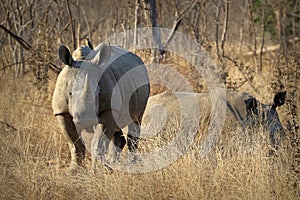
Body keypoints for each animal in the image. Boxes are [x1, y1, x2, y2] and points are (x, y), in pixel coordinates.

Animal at [52, 43, 150, 173]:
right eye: (70, 93)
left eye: (98, 94)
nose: (86, 119)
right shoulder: (61, 112)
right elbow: (74, 143)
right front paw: (73, 171)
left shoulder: (108, 109)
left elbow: (99, 142)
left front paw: (98, 171)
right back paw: (113, 163)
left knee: (135, 120)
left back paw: (131, 164)